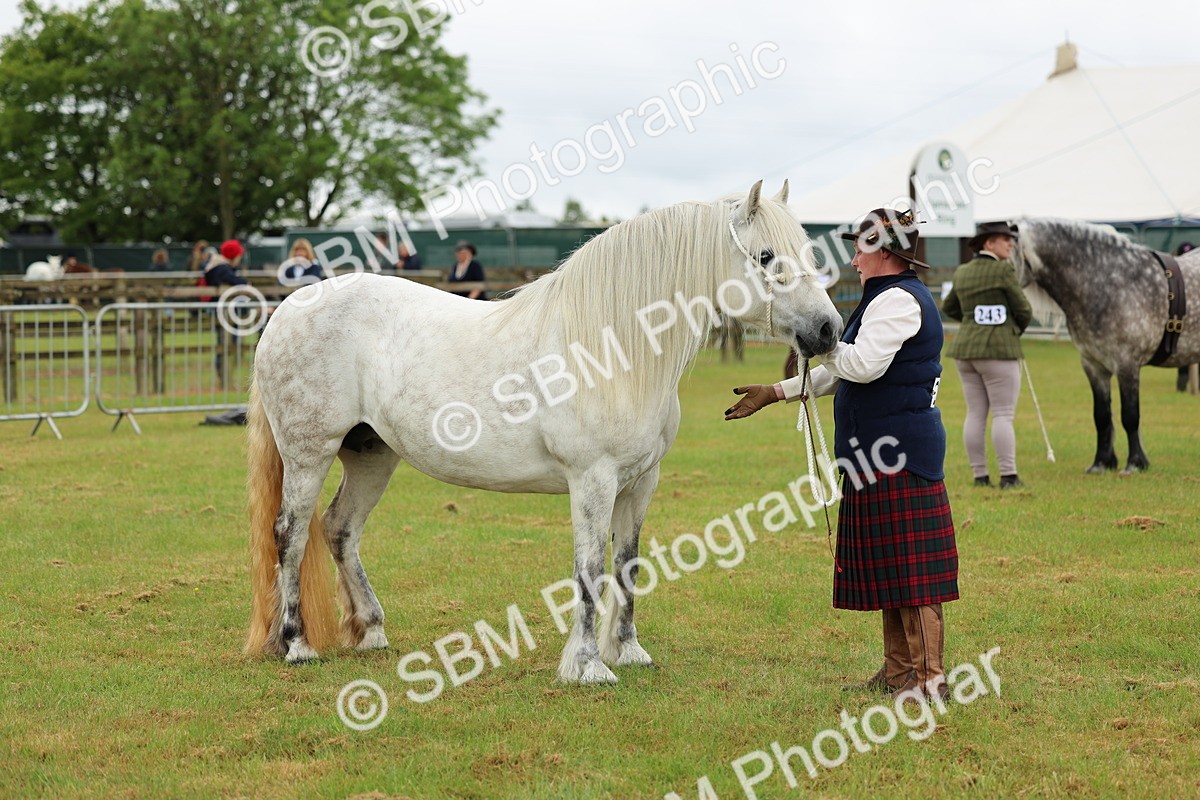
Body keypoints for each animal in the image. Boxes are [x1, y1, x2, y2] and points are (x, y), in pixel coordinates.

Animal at [244, 180, 843, 684]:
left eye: (810, 255)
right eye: (766, 257)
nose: (829, 330)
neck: (612, 347)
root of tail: (288, 310)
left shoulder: (640, 482)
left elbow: (627, 563)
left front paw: (628, 652)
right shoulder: (593, 480)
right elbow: (590, 569)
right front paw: (588, 667)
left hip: (372, 455)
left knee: (340, 530)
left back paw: (370, 631)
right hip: (309, 454)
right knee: (290, 535)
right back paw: (297, 645)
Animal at [1013, 218, 1200, 474]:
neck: (1110, 282)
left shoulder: (1127, 365)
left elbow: (1130, 415)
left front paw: (1135, 464)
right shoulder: (1093, 365)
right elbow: (1101, 416)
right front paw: (1101, 463)